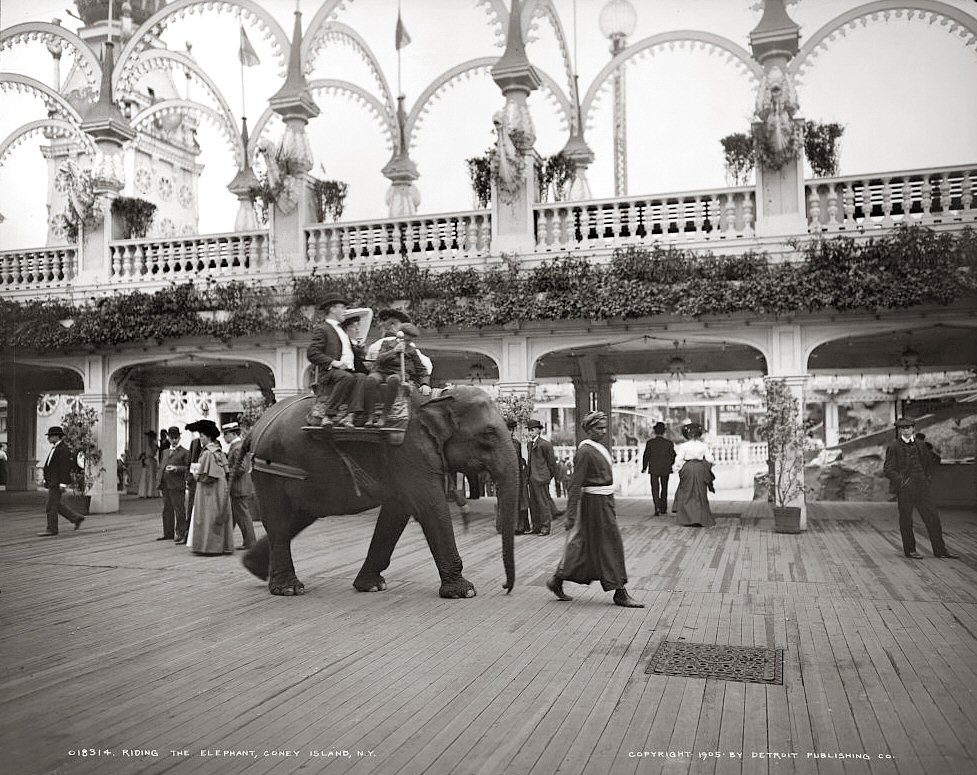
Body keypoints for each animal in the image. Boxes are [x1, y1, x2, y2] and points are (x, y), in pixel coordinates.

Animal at [240, 384, 520, 596]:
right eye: (488, 434)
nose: (505, 587)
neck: (436, 398)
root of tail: (255, 429)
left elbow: (397, 513)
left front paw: (372, 586)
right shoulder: (410, 452)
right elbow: (430, 507)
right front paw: (465, 591)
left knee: (297, 518)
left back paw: (253, 568)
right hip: (271, 471)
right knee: (279, 520)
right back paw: (288, 589)